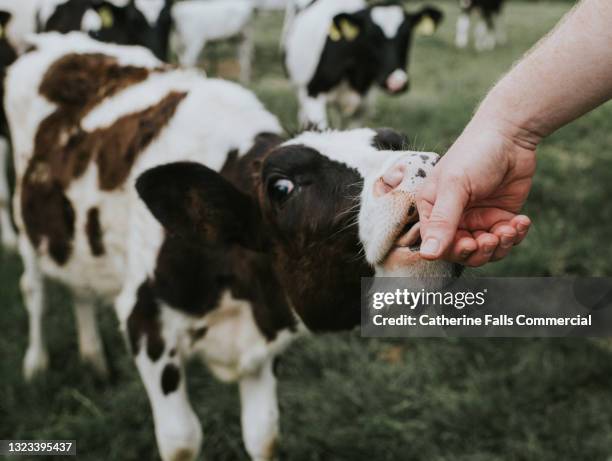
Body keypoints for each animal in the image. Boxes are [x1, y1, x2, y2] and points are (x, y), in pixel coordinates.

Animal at [4, 32, 454, 460]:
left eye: (393, 141)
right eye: (281, 187)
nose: (418, 167)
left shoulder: (264, 336)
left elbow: (264, 435)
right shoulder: (144, 319)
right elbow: (181, 440)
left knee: (78, 285)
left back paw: (93, 358)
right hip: (25, 219)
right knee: (33, 288)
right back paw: (35, 365)